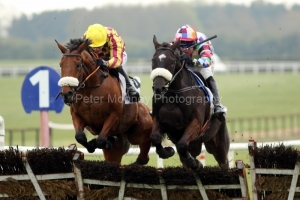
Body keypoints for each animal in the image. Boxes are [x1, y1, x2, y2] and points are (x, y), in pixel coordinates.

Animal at [150, 36, 230, 170]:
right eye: (153, 60)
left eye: (172, 62)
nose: (158, 88)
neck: (173, 95)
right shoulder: (159, 119)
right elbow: (155, 137)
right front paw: (167, 151)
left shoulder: (196, 123)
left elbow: (182, 145)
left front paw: (195, 163)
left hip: (218, 143)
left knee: (223, 162)